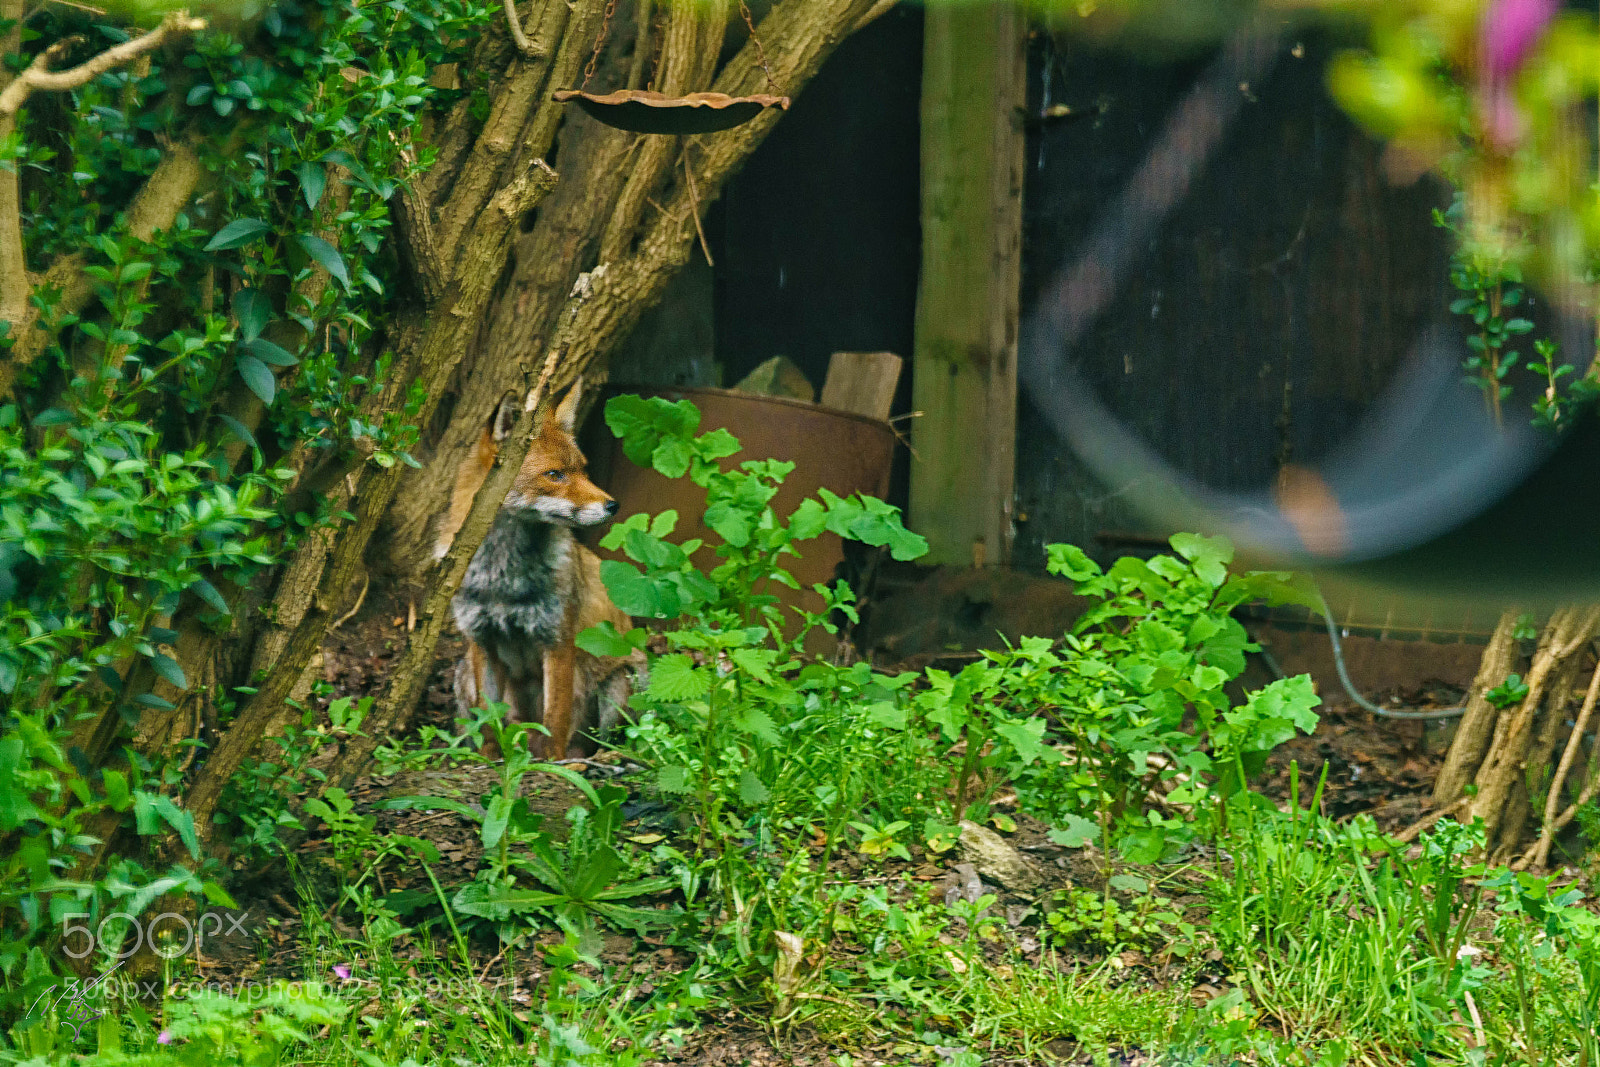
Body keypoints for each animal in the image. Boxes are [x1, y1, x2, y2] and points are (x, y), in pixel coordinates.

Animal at [436, 384, 641, 760]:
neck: (503, 577)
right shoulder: (481, 640)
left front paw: (550, 763)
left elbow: (555, 719)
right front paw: (492, 761)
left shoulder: (557, 639)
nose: (613, 506)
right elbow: (489, 719)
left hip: (621, 683)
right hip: (463, 674)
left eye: (583, 470)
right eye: (555, 475)